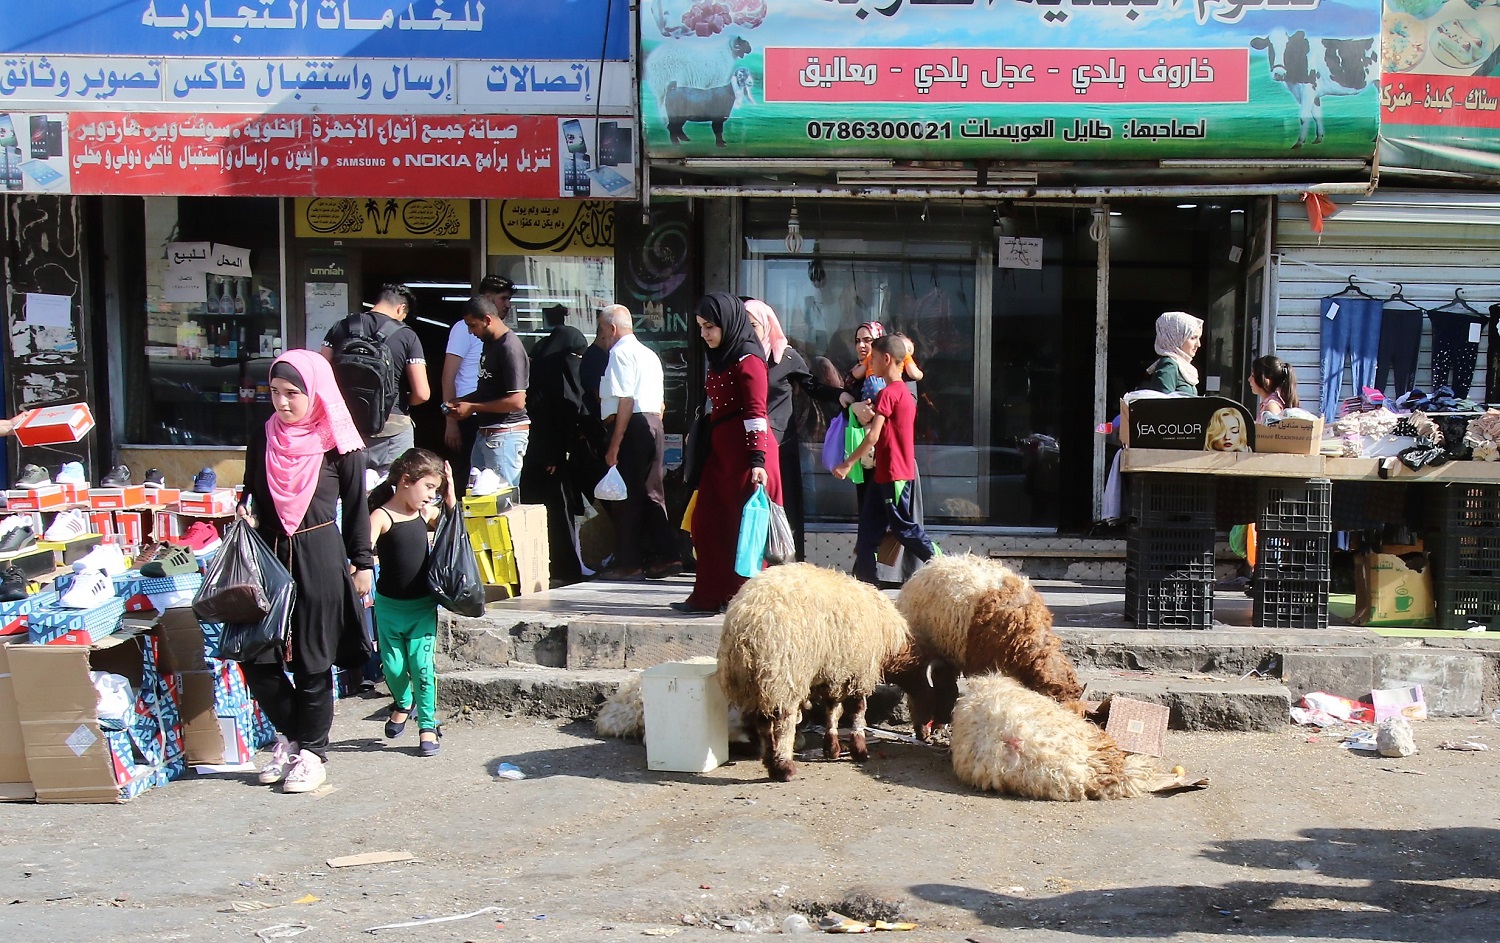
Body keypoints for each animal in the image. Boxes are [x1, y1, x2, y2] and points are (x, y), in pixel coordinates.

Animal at [717, 563, 912, 773]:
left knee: (763, 723)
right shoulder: (859, 672)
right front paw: (859, 749)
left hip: (759, 684)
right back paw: (784, 766)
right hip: (783, 674)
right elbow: (857, 711)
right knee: (783, 723)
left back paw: (771, 761)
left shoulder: (835, 671)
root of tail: (746, 625)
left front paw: (832, 748)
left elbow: (833, 711)